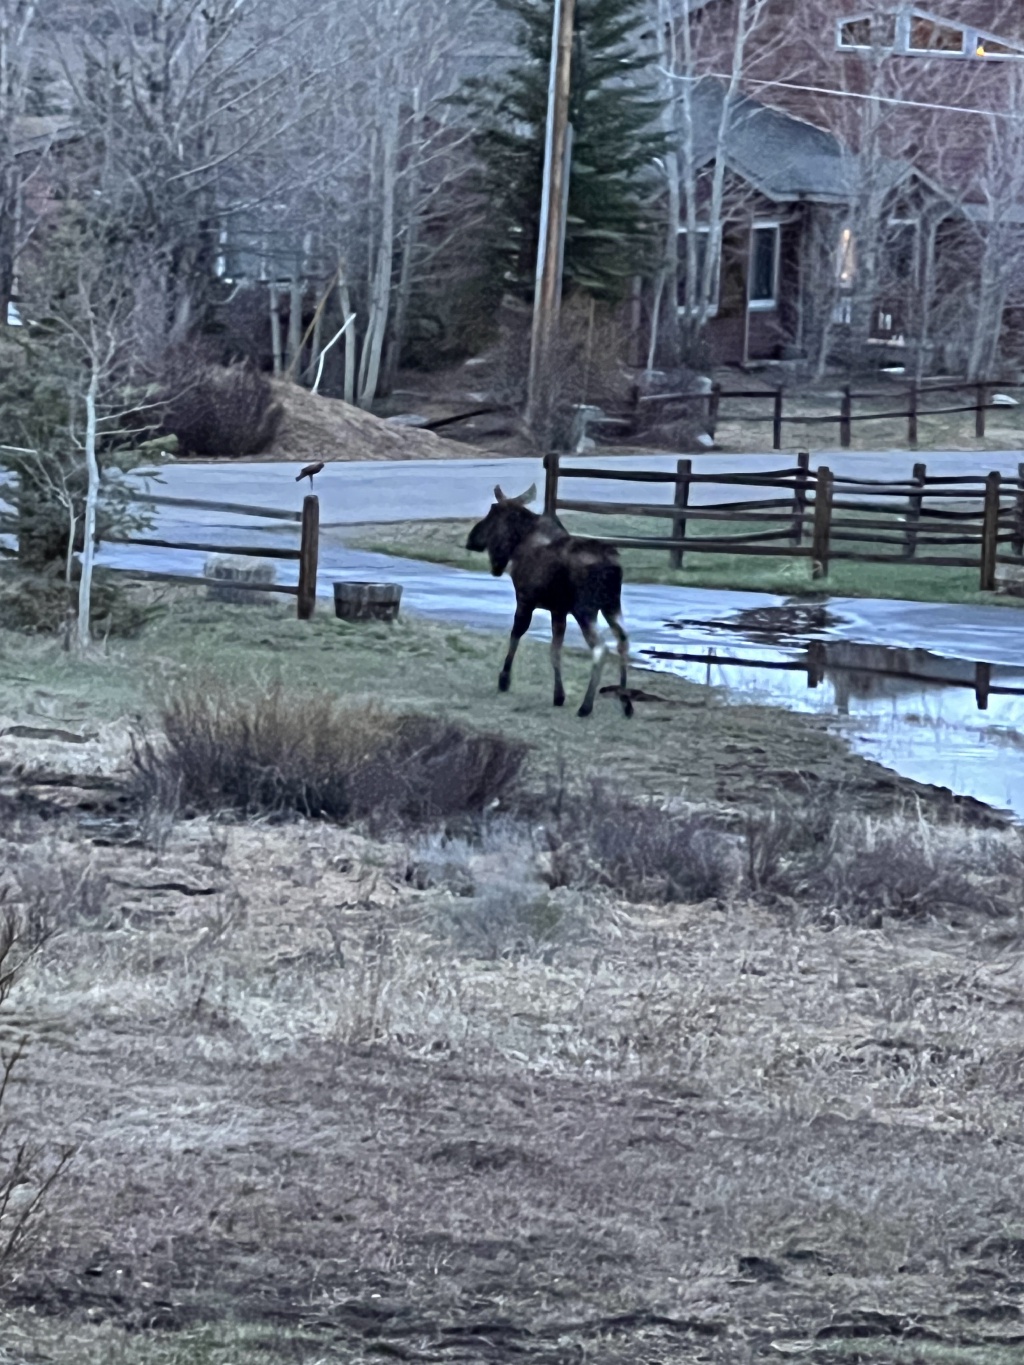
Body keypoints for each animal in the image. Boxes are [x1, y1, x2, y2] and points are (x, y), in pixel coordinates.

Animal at [465, 484, 633, 718]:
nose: (471, 538)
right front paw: (558, 695)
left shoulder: (525, 599)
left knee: (601, 648)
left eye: (492, 511)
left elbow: (516, 635)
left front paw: (504, 680)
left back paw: (586, 706)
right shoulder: (558, 610)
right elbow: (555, 651)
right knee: (623, 641)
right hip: (612, 605)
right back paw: (626, 702)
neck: (520, 541)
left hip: (585, 609)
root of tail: (611, 566)